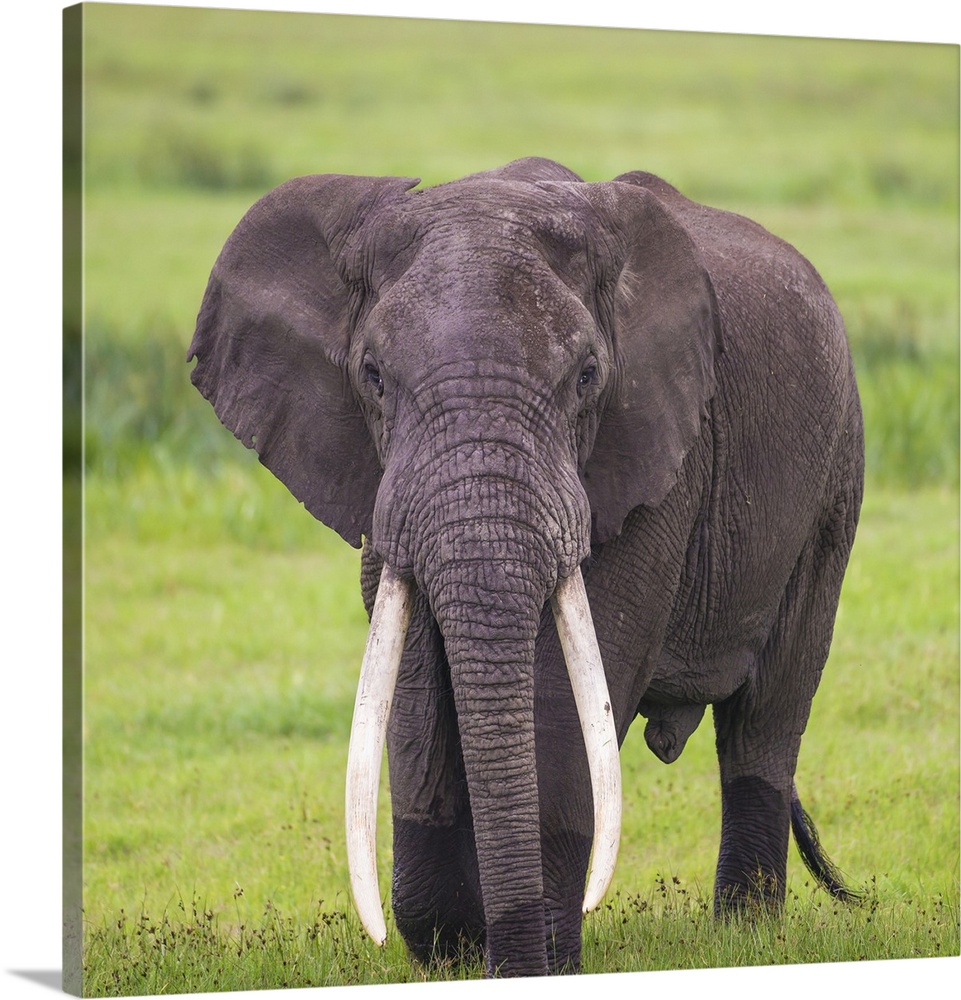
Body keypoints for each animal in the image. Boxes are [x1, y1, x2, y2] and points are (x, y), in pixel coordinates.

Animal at [186, 156, 864, 976]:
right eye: (372, 375)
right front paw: (448, 952)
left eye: (587, 377)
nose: (503, 947)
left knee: (766, 715)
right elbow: (414, 677)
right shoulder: (378, 481)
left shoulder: (656, 457)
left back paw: (745, 939)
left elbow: (573, 685)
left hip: (833, 479)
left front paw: (536, 956)